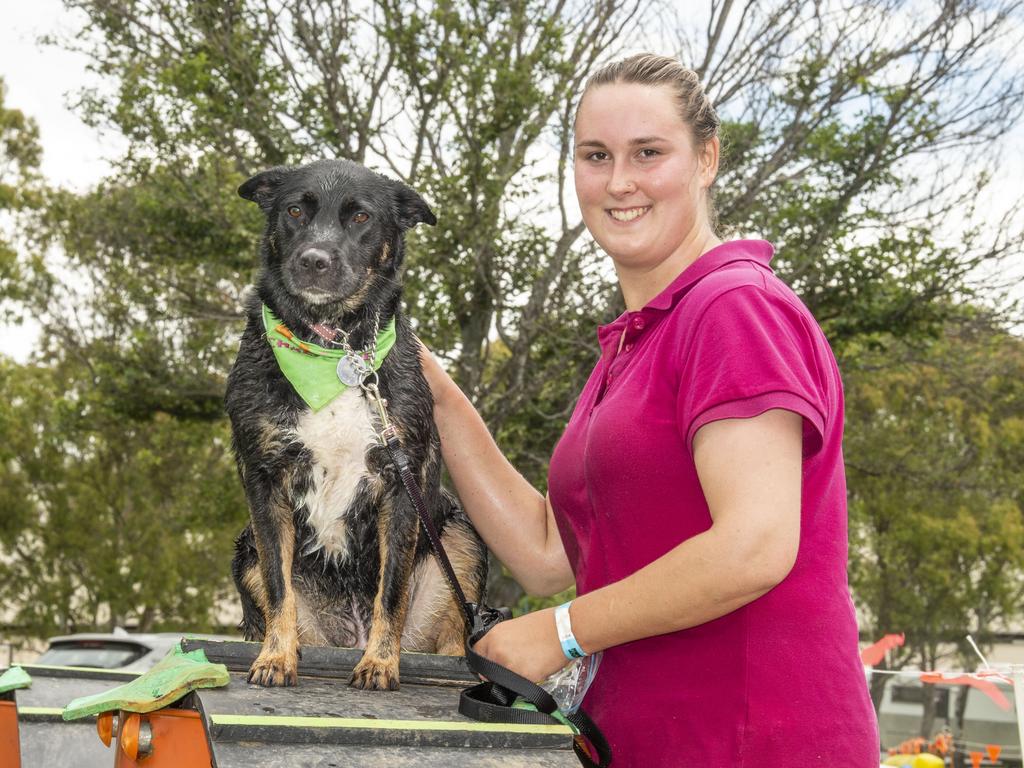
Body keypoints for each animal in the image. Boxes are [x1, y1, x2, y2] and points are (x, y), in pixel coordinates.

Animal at [227, 160, 487, 692]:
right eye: (295, 210)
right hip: (246, 551)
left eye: (361, 217)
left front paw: (380, 663)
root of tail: (350, 630)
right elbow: (279, 586)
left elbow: (391, 591)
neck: (335, 348)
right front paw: (275, 657)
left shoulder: (401, 481)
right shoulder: (264, 480)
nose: (314, 260)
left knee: (456, 636)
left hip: (459, 539)